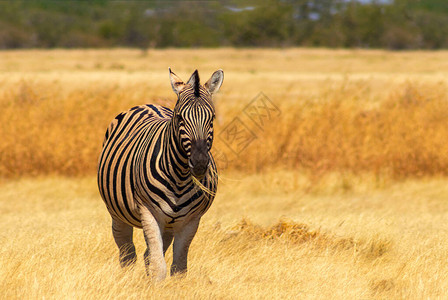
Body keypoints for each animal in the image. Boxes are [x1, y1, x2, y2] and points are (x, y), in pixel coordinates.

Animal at [98, 69, 224, 280]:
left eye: (212, 118)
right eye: (180, 117)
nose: (199, 164)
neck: (180, 177)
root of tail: (149, 104)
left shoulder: (191, 220)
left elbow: (178, 268)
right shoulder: (148, 212)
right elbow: (159, 267)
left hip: (169, 224)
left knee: (147, 255)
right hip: (117, 213)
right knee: (127, 253)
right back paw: (126, 279)